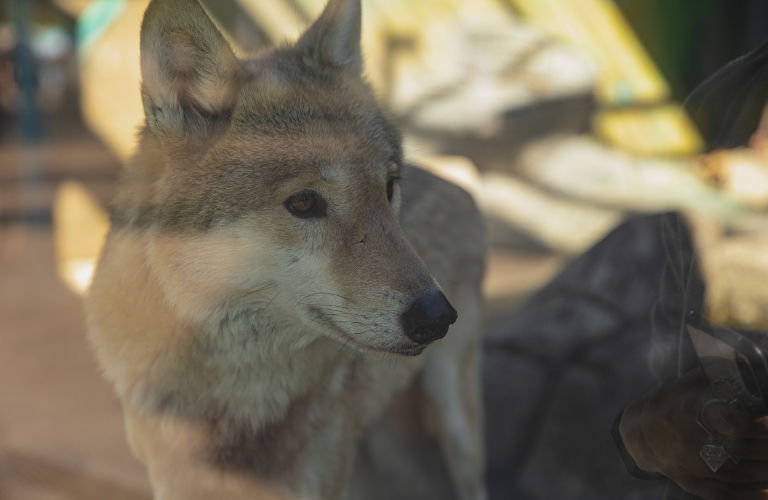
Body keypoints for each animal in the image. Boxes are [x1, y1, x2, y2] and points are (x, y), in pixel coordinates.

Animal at [85, 0, 486, 499]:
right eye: (304, 202)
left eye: (389, 188)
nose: (436, 317)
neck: (231, 404)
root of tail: (459, 183)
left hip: (456, 427)